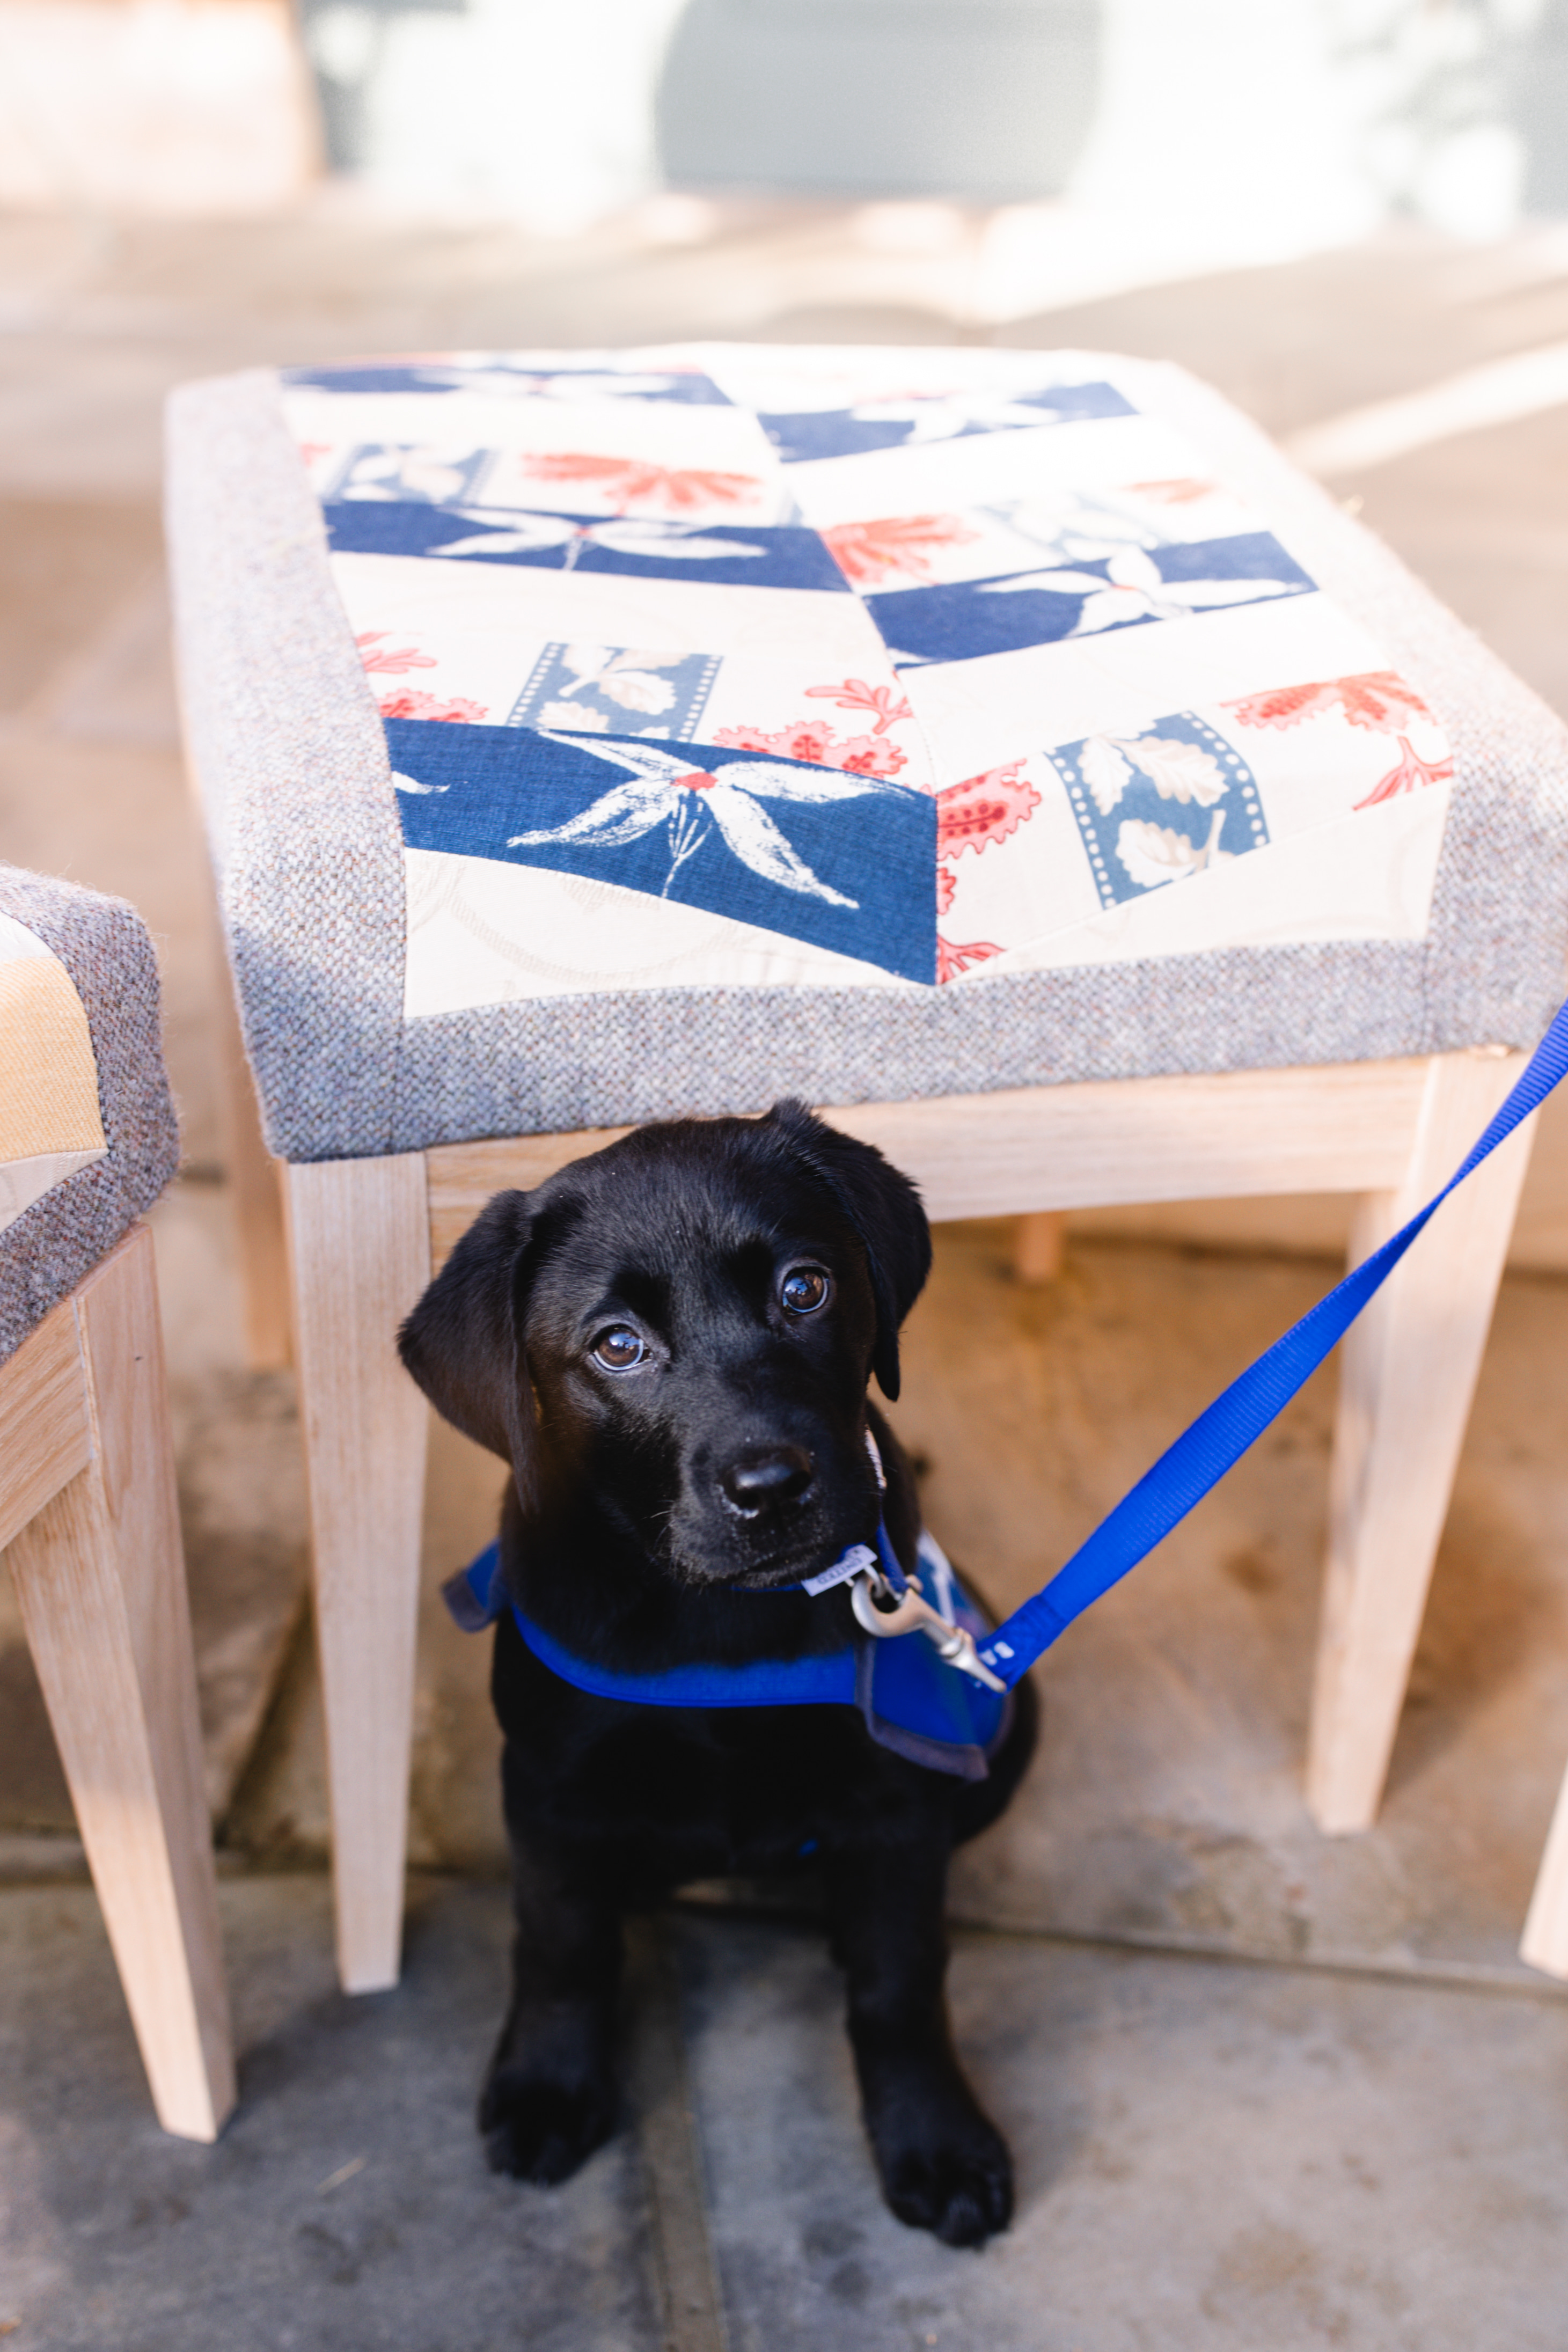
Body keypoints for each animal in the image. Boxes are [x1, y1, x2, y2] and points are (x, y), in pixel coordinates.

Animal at [402, 1096, 1044, 2239]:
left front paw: (935, 2138)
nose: (770, 1485)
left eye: (804, 1287)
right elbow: (560, 1940)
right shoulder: (552, 1786)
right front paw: (548, 2087)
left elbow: (900, 1980)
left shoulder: (898, 1798)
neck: (721, 1617)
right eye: (617, 1345)